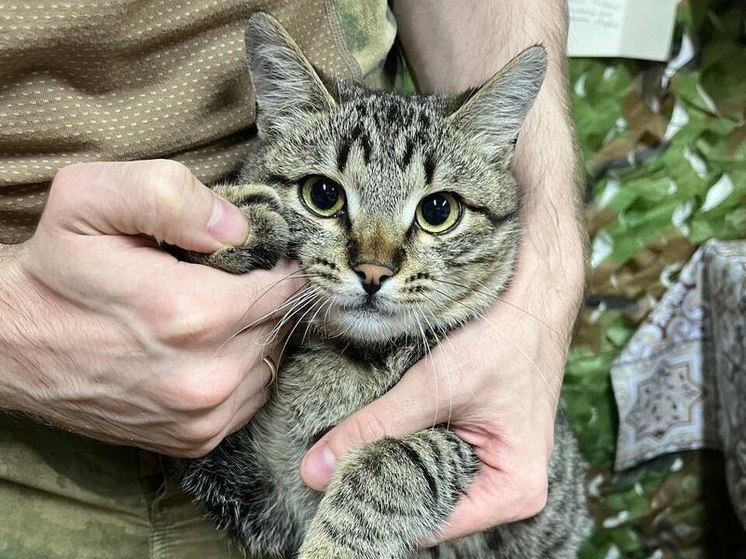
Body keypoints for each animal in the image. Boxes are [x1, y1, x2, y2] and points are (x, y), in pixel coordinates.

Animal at [176, 13, 588, 559]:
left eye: (438, 210)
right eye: (322, 194)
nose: (372, 271)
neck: (350, 362)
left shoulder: (472, 446)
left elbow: (396, 460)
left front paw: (331, 547)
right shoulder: (238, 480)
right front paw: (239, 219)